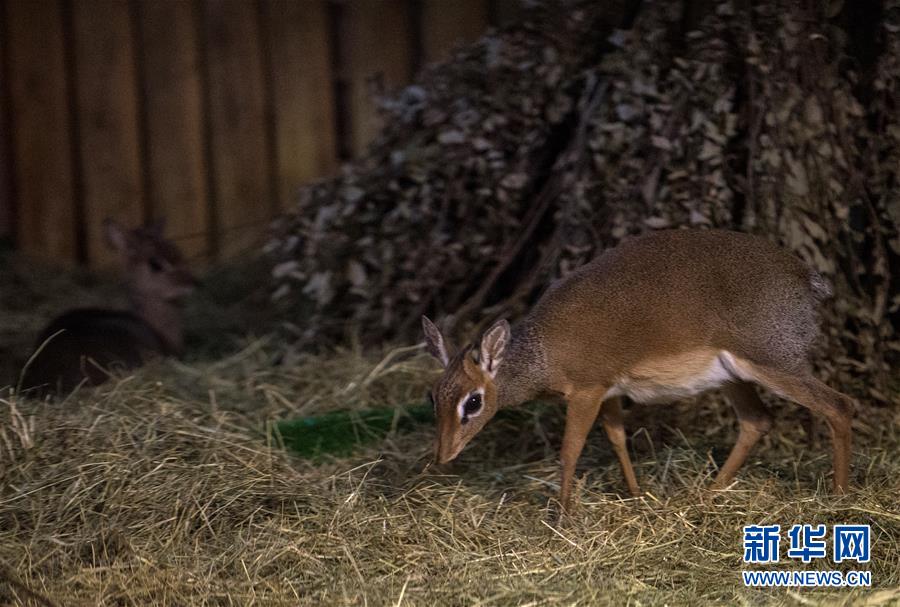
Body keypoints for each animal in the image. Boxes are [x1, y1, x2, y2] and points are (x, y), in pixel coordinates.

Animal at [424, 230, 856, 510]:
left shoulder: (587, 390)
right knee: (757, 420)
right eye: (433, 397)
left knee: (838, 405)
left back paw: (838, 498)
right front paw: (634, 495)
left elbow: (569, 450)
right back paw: (706, 494)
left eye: (473, 401)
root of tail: (808, 279)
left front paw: (563, 515)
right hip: (733, 376)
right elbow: (617, 440)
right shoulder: (609, 393)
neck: (544, 354)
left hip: (774, 363)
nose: (443, 455)